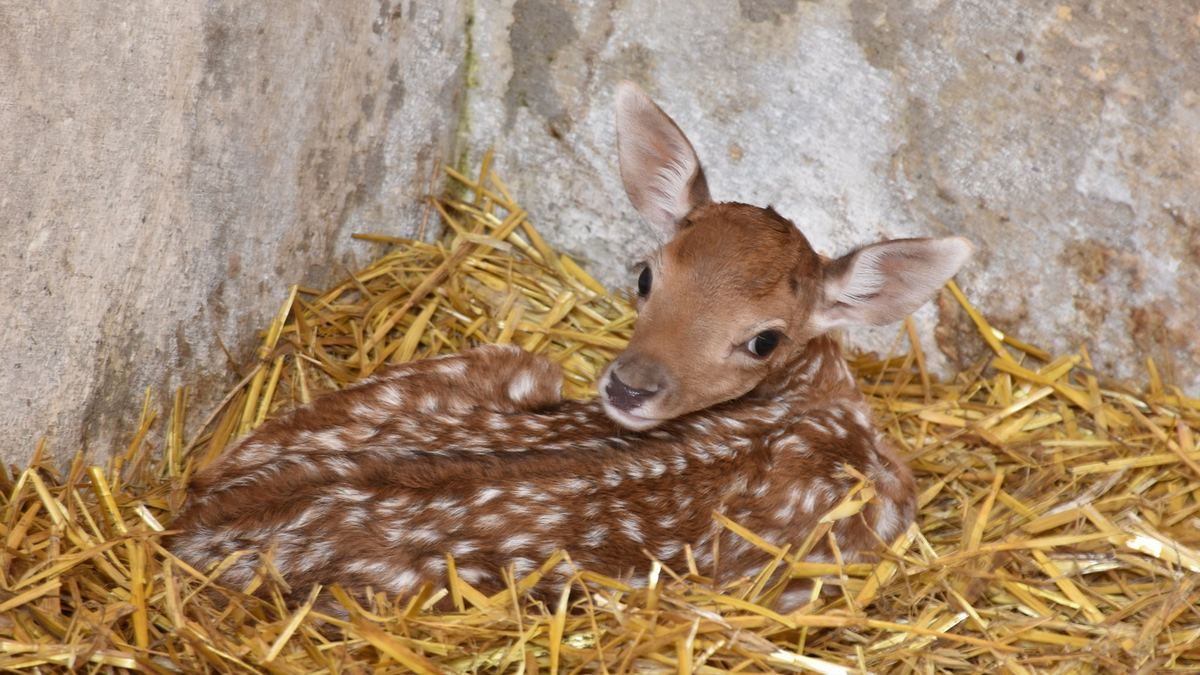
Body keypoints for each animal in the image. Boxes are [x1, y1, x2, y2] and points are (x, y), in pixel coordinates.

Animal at [169, 81, 969, 607]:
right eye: (645, 275)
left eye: (765, 339)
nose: (629, 385)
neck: (820, 397)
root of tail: (193, 522)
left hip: (501, 364)